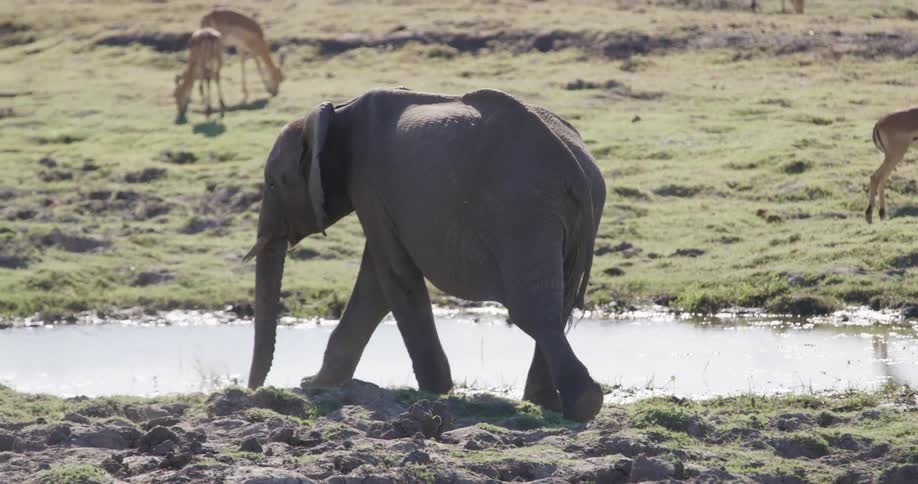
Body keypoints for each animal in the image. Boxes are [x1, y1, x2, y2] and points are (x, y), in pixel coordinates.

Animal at [242, 87, 607, 422]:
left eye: (273, 183)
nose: (255, 391)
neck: (337, 113)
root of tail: (574, 167)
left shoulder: (369, 184)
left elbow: (392, 275)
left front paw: (435, 391)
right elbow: (376, 282)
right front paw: (317, 384)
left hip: (523, 213)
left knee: (533, 312)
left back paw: (581, 404)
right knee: (558, 306)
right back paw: (547, 403)